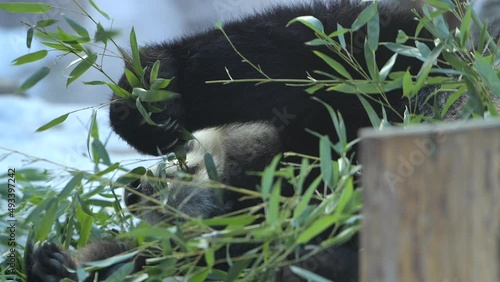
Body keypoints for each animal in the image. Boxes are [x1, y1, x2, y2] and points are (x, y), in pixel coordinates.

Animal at [24, 0, 500, 280]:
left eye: (188, 152)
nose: (133, 186)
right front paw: (54, 264)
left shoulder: (366, 86)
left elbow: (325, 41)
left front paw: (149, 101)